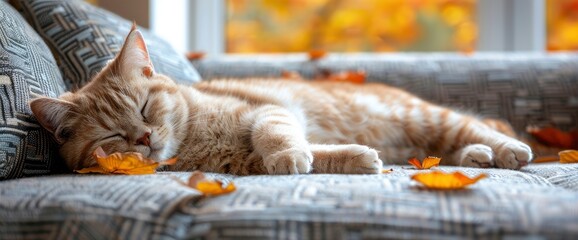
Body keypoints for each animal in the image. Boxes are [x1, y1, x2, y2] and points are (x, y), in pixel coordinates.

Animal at [27, 26, 532, 174]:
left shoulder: (267, 111)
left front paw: (291, 153)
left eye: (145, 109)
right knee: (449, 148)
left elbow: (277, 134)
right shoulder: (243, 163)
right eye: (113, 135)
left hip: (424, 116)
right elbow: (317, 152)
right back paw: (477, 155)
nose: (145, 138)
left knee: (471, 128)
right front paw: (355, 158)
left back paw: (505, 150)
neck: (194, 140)